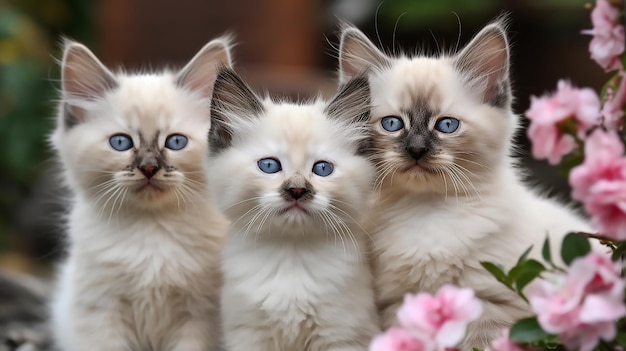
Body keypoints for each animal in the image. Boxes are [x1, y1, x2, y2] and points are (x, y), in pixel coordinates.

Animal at [50, 37, 232, 351]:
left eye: (176, 142)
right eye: (121, 143)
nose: (149, 168)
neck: (151, 230)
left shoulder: (200, 315)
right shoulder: (102, 310)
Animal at [207, 66, 378, 351]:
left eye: (322, 169)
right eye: (269, 166)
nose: (297, 190)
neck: (292, 255)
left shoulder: (343, 334)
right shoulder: (248, 333)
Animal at [338, 17, 592, 350]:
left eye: (447, 125)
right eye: (392, 124)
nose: (416, 149)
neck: (427, 212)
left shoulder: (498, 305)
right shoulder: (399, 304)